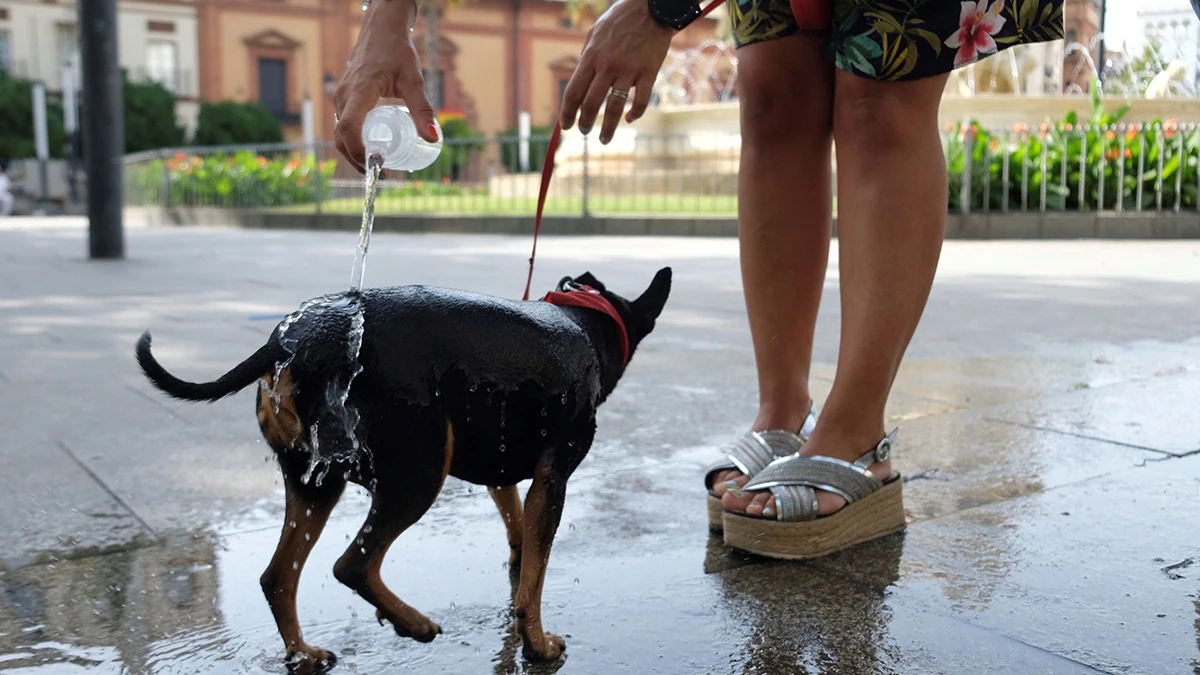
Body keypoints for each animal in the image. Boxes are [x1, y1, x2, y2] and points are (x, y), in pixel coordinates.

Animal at [138, 266, 676, 667]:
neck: (582, 321)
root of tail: (293, 342)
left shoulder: (499, 467)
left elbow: (520, 534)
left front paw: (518, 564)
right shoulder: (554, 477)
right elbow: (535, 581)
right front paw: (538, 645)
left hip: (317, 483)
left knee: (278, 577)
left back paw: (305, 653)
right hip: (418, 473)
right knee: (352, 563)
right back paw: (412, 623)